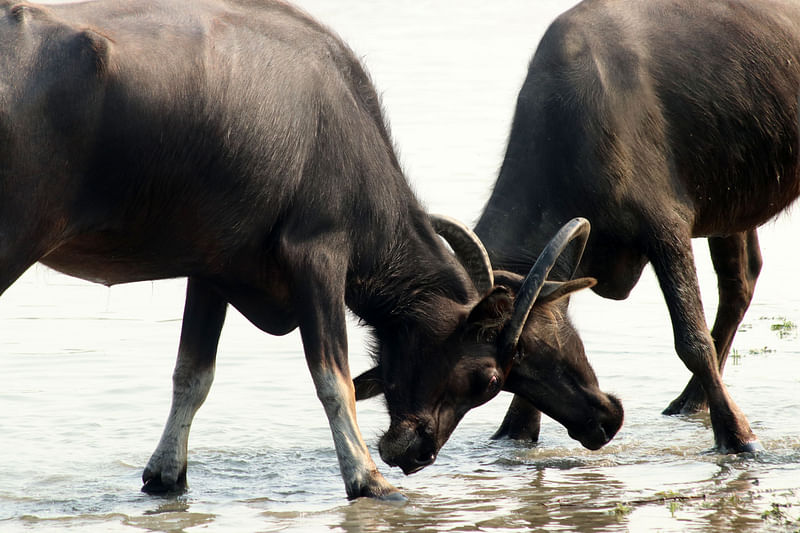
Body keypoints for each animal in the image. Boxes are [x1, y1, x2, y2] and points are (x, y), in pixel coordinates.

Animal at [0, 0, 600, 498]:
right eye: (489, 379)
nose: (415, 453)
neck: (344, 126)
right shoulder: (318, 257)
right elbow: (333, 378)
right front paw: (367, 479)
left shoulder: (212, 271)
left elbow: (192, 374)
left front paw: (166, 474)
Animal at [472, 0, 800, 454]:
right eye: (498, 377)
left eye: (532, 350)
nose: (597, 428)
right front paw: (515, 431)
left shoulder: (667, 229)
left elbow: (691, 340)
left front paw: (738, 436)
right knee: (741, 281)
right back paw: (690, 401)